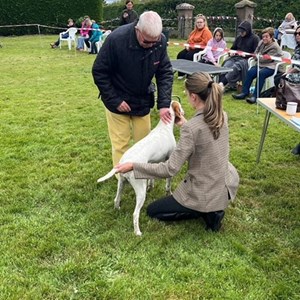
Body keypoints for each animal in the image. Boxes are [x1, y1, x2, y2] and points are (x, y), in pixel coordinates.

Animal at [98, 101, 183, 237]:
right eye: (180, 106)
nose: (183, 112)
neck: (164, 127)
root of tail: (124, 162)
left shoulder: (152, 164)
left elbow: (152, 178)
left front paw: (151, 186)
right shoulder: (169, 162)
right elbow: (168, 184)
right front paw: (169, 193)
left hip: (121, 184)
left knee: (116, 199)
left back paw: (117, 209)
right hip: (140, 191)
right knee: (135, 214)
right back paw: (137, 232)